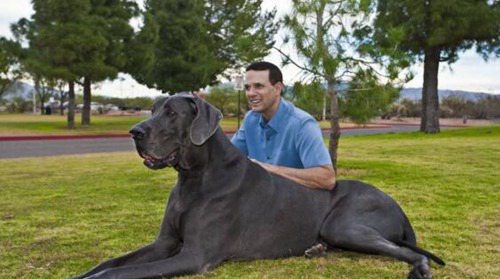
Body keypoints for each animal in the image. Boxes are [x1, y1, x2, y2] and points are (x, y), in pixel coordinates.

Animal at [73, 94, 442, 279]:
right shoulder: (165, 243)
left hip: (344, 224)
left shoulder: (194, 255)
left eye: (171, 113)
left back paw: (419, 269)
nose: (134, 132)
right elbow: (107, 265)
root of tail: (399, 207)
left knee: (410, 252)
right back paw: (316, 249)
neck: (194, 178)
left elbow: (117, 274)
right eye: (151, 110)